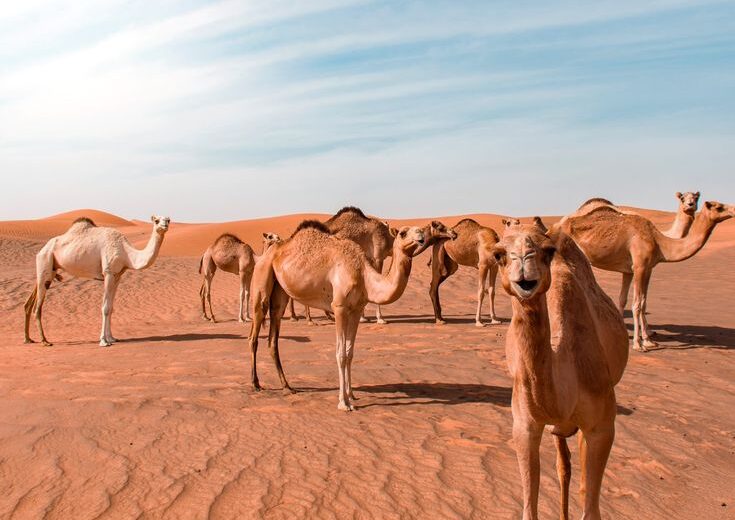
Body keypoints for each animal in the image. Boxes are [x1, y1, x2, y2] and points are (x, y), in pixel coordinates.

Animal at [24, 216, 170, 347]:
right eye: (156, 220)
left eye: (167, 219)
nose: (165, 225)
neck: (126, 253)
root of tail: (41, 250)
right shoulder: (108, 272)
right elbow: (105, 308)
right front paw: (103, 341)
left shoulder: (117, 276)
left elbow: (111, 307)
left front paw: (112, 338)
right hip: (45, 260)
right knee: (38, 307)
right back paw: (44, 341)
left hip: (50, 269)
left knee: (31, 299)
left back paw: (28, 339)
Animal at [248, 220, 427, 410]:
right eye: (402, 233)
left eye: (418, 230)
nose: (421, 235)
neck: (363, 275)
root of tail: (267, 254)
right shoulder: (339, 307)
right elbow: (340, 354)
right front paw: (344, 402)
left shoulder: (356, 310)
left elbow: (349, 353)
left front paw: (352, 394)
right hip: (261, 278)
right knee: (254, 333)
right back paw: (255, 383)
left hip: (280, 293)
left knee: (273, 336)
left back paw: (287, 386)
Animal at [493, 221, 629, 520]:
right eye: (499, 254)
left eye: (547, 250)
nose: (523, 259)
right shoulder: (524, 425)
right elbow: (529, 508)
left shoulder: (602, 425)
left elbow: (591, 508)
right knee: (563, 465)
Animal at [557, 200, 735, 351]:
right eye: (718, 207)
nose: (733, 209)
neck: (659, 242)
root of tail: (556, 225)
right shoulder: (640, 266)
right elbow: (636, 305)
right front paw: (638, 344)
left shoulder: (640, 269)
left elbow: (639, 302)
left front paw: (647, 340)